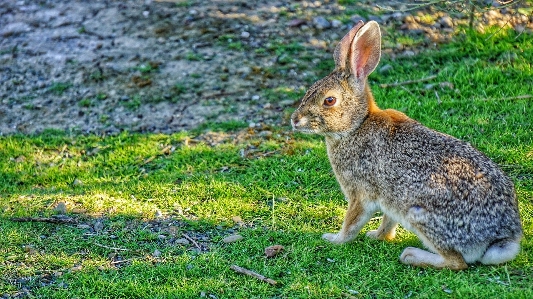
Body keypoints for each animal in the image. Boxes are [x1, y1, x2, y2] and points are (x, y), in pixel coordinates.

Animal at [288, 19, 520, 270]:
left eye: (329, 100)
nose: (295, 120)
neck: (357, 125)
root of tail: (501, 239)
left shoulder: (360, 193)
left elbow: (351, 223)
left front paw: (334, 239)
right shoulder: (389, 198)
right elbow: (388, 221)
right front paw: (377, 236)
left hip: (420, 214)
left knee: (456, 262)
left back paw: (411, 255)